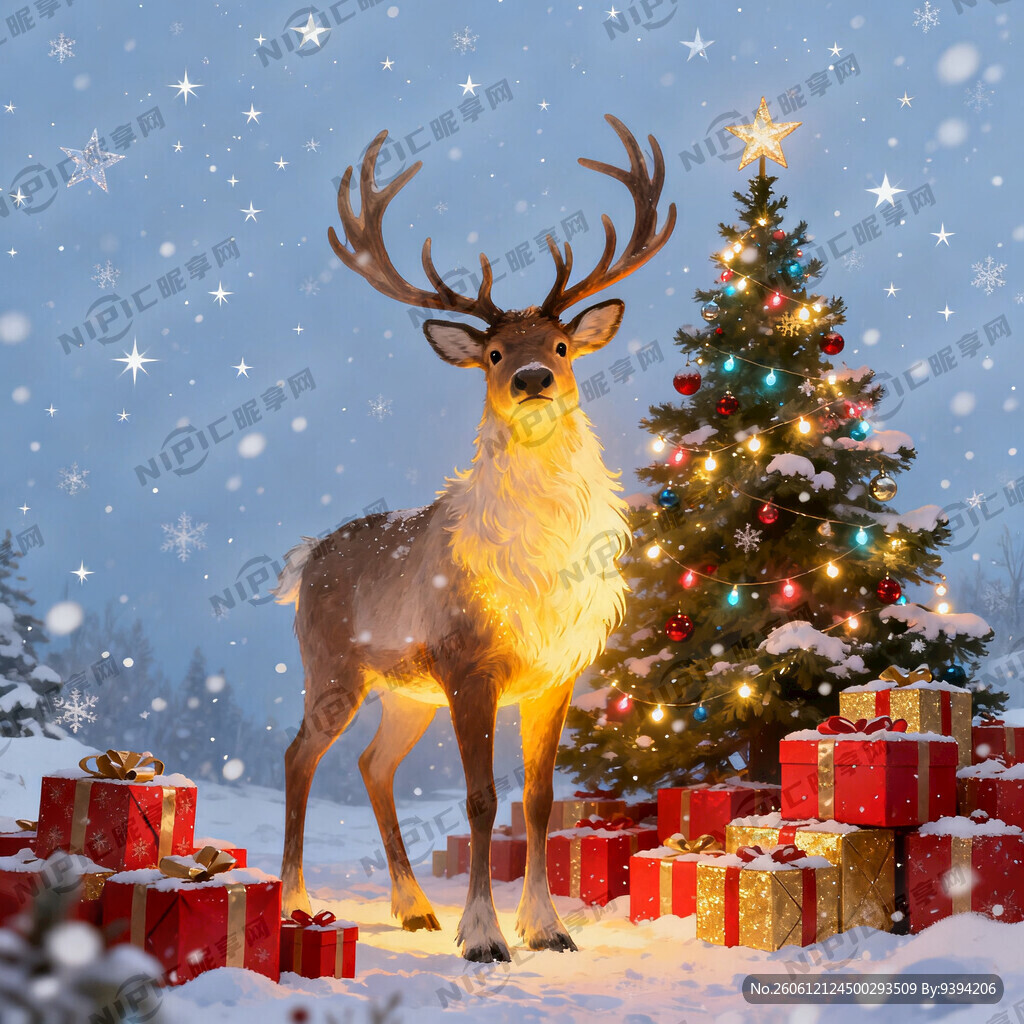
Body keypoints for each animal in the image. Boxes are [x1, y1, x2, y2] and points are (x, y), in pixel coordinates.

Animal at [273, 114, 675, 962]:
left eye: (560, 345)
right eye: (494, 353)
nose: (531, 380)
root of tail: (304, 558)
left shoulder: (557, 670)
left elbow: (541, 800)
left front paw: (547, 928)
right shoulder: (468, 660)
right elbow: (483, 800)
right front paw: (485, 936)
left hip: (404, 691)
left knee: (372, 764)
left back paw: (414, 907)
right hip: (333, 665)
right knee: (299, 756)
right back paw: (295, 898)